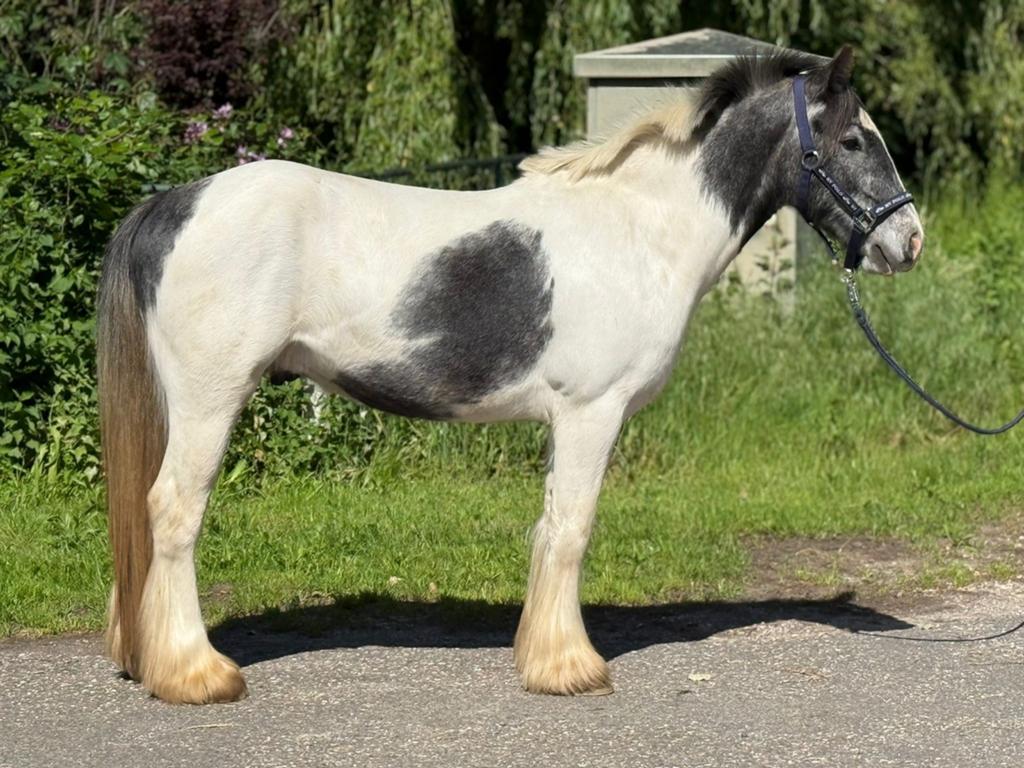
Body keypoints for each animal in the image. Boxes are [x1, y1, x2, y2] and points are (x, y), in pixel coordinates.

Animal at [97, 45, 924, 704]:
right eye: (854, 138)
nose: (909, 240)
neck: (643, 231)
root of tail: (174, 203)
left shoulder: (567, 420)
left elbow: (552, 526)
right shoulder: (592, 413)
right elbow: (573, 529)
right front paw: (570, 668)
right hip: (210, 402)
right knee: (173, 512)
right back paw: (196, 675)